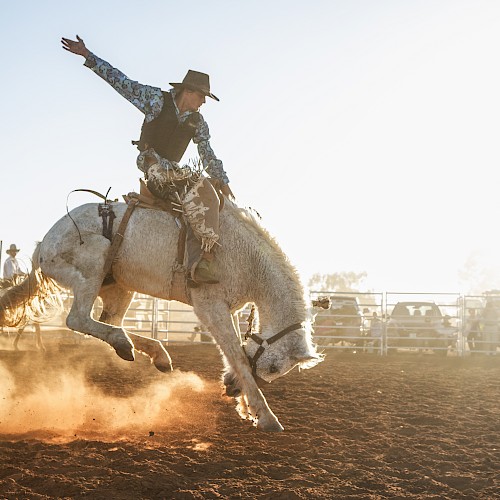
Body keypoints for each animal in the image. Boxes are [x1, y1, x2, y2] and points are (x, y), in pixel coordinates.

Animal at [0, 198, 320, 430]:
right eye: (275, 368)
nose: (231, 391)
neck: (244, 256)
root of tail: (44, 244)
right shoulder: (210, 305)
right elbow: (238, 356)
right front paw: (264, 416)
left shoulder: (224, 309)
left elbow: (235, 353)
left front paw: (244, 403)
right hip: (93, 263)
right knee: (77, 319)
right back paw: (128, 344)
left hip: (118, 286)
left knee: (108, 321)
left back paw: (150, 353)